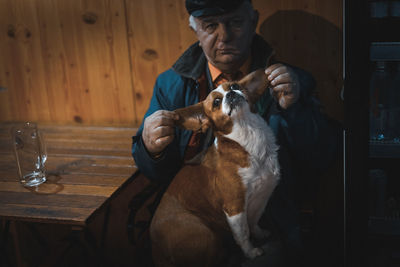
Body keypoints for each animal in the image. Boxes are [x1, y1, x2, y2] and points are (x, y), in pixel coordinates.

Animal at [148, 69, 280, 267]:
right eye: (216, 102)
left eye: (235, 85)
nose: (231, 94)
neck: (248, 134)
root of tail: (155, 252)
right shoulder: (235, 207)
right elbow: (243, 233)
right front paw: (251, 252)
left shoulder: (262, 196)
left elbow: (254, 221)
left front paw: (260, 233)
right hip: (206, 234)